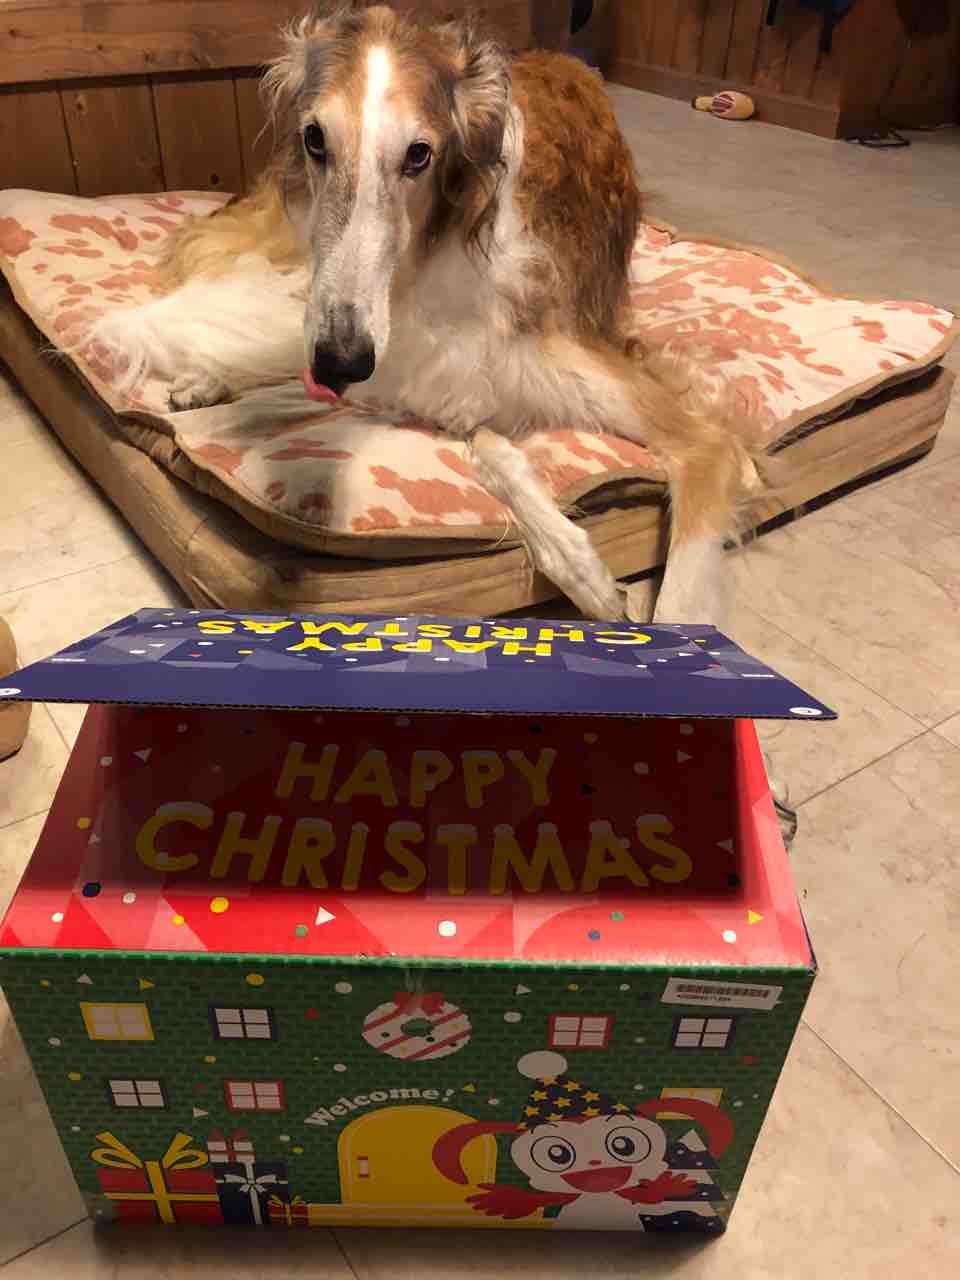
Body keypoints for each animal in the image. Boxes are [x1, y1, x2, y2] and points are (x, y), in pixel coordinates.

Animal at [90, 1, 756, 628]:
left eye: (419, 154)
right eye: (314, 138)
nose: (342, 361)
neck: (432, 261)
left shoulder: (678, 426)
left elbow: (684, 591)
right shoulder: (417, 367)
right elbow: (488, 446)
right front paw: (581, 564)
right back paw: (206, 380)